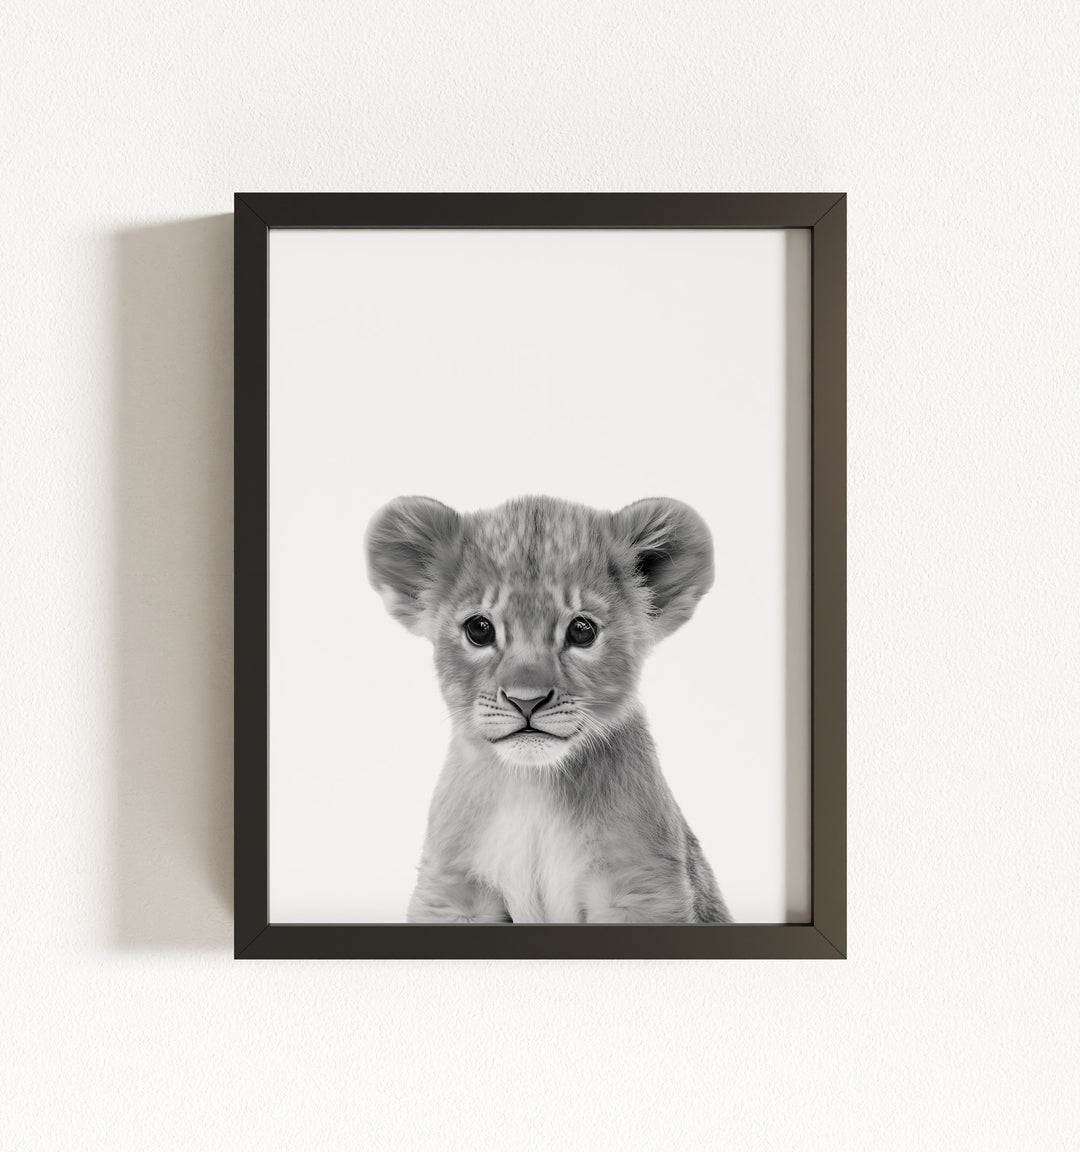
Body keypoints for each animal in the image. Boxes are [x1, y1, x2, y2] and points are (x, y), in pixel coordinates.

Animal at [365, 494, 732, 924]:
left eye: (582, 631)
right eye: (479, 629)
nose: (526, 700)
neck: (532, 786)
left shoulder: (642, 887)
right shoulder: (451, 891)